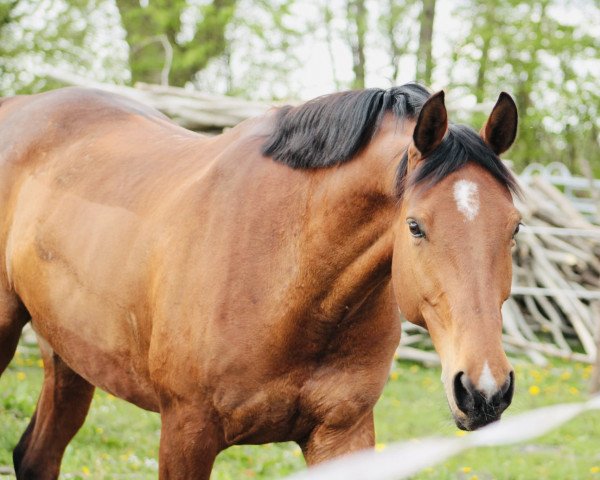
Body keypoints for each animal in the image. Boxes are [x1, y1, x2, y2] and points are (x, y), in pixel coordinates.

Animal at [0, 82, 516, 476]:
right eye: (415, 226)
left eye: (514, 227)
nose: (484, 392)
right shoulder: (186, 431)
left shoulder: (343, 433)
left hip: (69, 355)